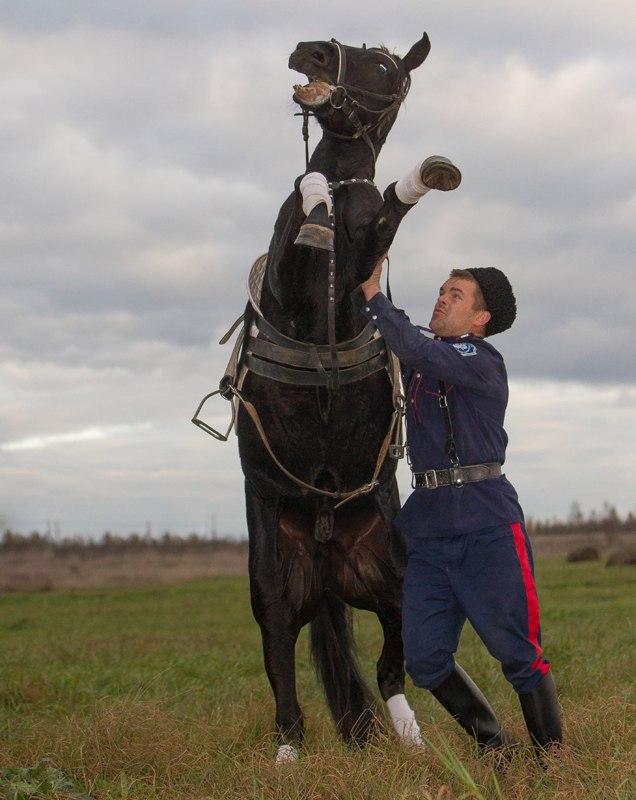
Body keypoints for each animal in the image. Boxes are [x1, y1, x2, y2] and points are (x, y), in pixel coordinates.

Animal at [195, 33, 460, 763]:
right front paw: (314, 196)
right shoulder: (293, 280)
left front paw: (422, 177)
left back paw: (408, 733)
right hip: (276, 584)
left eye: (388, 67)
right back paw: (288, 753)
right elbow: (305, 222)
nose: (310, 52)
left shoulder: (361, 273)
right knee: (283, 666)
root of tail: (325, 555)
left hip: (396, 580)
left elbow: (384, 219)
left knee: (392, 665)